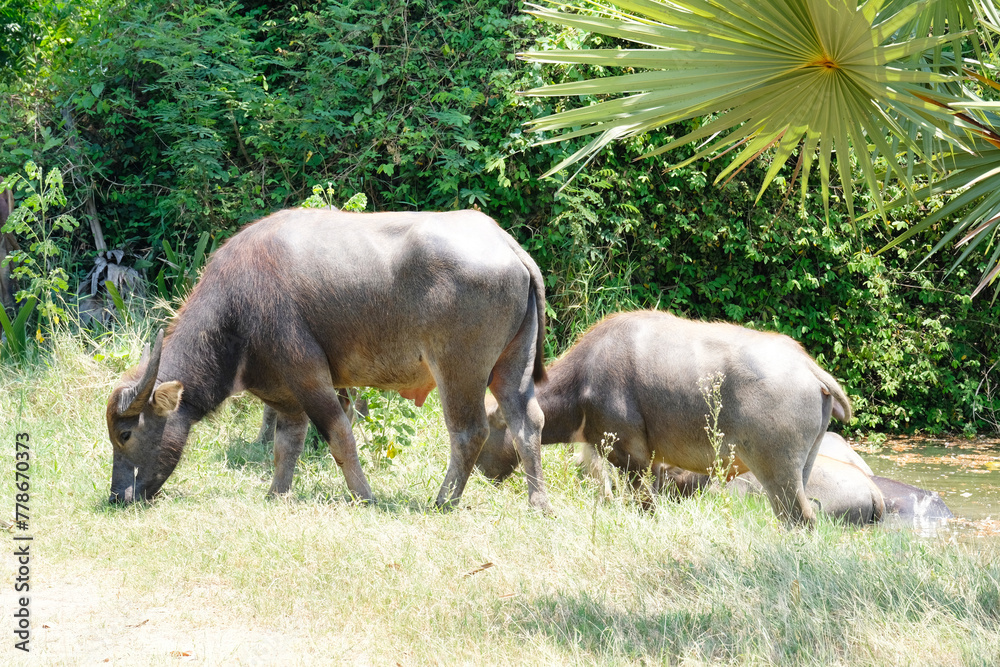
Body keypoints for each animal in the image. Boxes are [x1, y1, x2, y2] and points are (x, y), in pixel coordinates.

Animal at [106, 208, 551, 511]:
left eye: (125, 434)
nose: (117, 497)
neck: (236, 307)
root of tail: (506, 244)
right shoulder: (285, 392)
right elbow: (287, 444)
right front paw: (276, 493)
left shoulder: (309, 376)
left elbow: (339, 435)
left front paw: (364, 496)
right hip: (512, 366)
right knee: (527, 422)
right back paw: (538, 503)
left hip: (459, 370)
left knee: (469, 432)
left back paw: (443, 501)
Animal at [476, 310, 852, 527]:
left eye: (486, 432)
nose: (479, 474)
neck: (584, 380)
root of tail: (808, 366)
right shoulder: (648, 462)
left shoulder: (633, 457)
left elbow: (644, 505)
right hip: (801, 469)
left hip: (778, 472)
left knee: (799, 517)